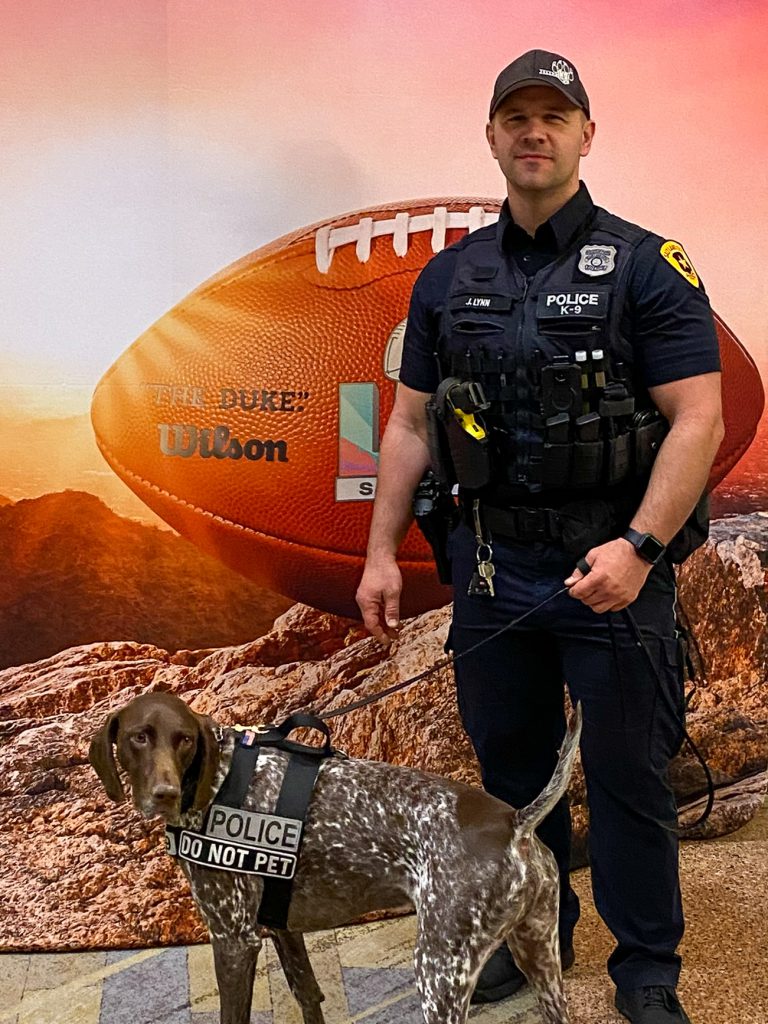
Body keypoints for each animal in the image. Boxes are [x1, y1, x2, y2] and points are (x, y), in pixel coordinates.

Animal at [90, 688, 581, 1024]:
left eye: (185, 740)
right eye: (139, 738)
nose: (165, 794)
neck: (219, 780)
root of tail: (514, 823)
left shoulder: (234, 940)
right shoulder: (282, 929)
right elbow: (309, 995)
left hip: (439, 972)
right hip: (538, 954)